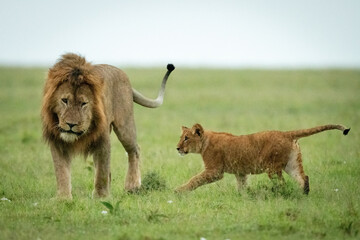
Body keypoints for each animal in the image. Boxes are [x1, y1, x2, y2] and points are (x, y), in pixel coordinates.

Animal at [41, 54, 175, 199]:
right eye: (64, 100)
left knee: (134, 150)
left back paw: (132, 185)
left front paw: (101, 197)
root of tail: (121, 72)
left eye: (84, 103)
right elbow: (61, 171)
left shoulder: (103, 139)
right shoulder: (57, 141)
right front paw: (63, 198)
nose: (71, 124)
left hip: (125, 126)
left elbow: (102, 171)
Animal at [176, 123, 350, 194]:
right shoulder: (241, 172)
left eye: (186, 138)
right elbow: (242, 186)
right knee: (303, 178)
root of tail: (286, 133)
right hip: (292, 164)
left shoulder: (214, 171)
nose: (177, 148)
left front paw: (179, 191)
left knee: (282, 183)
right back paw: (303, 195)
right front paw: (243, 197)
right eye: (181, 137)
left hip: (272, 168)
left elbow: (195, 180)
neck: (205, 142)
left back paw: (280, 195)